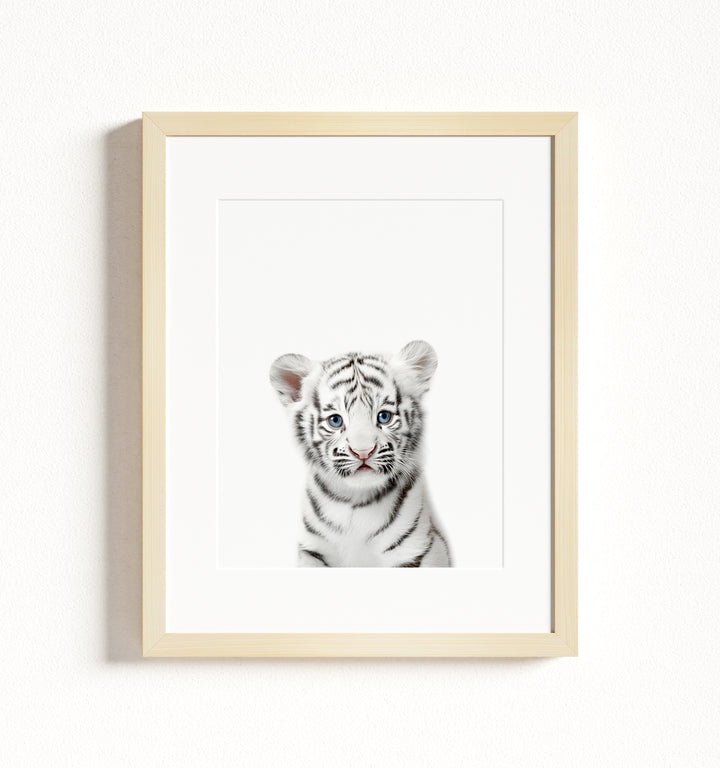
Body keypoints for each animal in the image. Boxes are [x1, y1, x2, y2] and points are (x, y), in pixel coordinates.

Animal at [269, 340, 451, 567]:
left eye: (384, 416)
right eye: (335, 420)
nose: (363, 452)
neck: (355, 503)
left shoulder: (417, 550)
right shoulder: (312, 551)